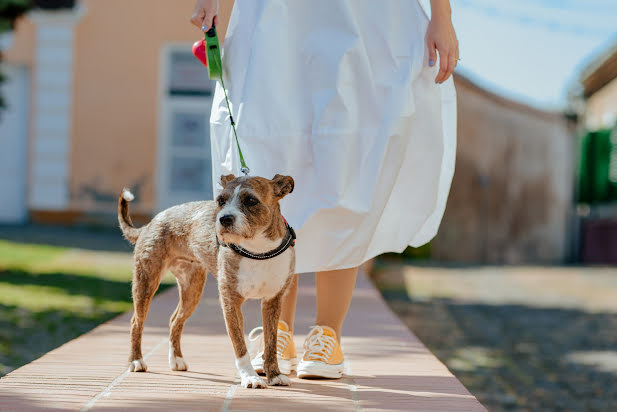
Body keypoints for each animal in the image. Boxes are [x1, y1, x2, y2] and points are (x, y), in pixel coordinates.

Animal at [118, 174, 298, 390]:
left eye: (251, 200)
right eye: (220, 200)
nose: (224, 218)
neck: (257, 250)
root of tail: (150, 224)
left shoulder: (273, 301)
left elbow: (271, 342)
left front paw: (274, 374)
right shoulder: (231, 302)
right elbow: (240, 347)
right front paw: (250, 377)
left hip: (192, 289)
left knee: (174, 320)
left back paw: (176, 359)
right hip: (146, 282)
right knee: (136, 322)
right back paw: (136, 360)